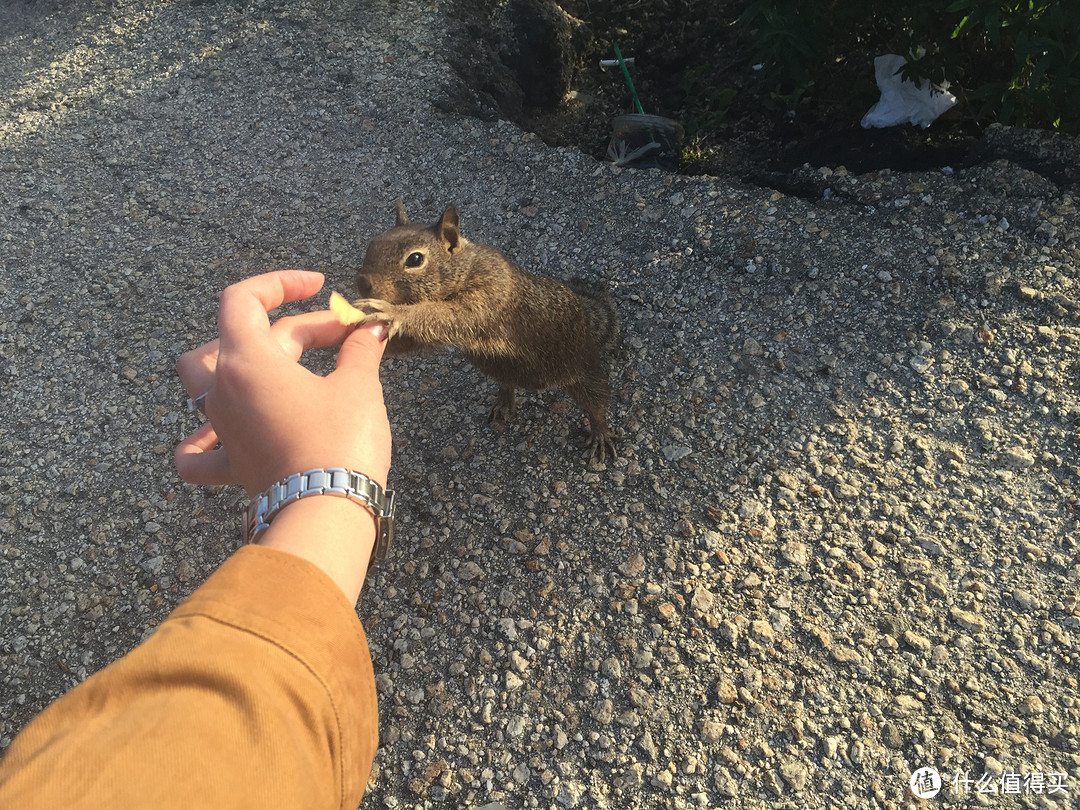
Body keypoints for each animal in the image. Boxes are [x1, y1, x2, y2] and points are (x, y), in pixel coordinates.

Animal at [349, 201, 622, 462]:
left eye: (415, 259)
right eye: (373, 244)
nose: (362, 282)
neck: (467, 268)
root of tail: (586, 317)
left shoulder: (492, 292)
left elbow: (451, 316)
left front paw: (395, 312)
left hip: (581, 365)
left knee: (597, 402)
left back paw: (600, 433)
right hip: (501, 367)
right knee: (508, 382)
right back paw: (504, 401)